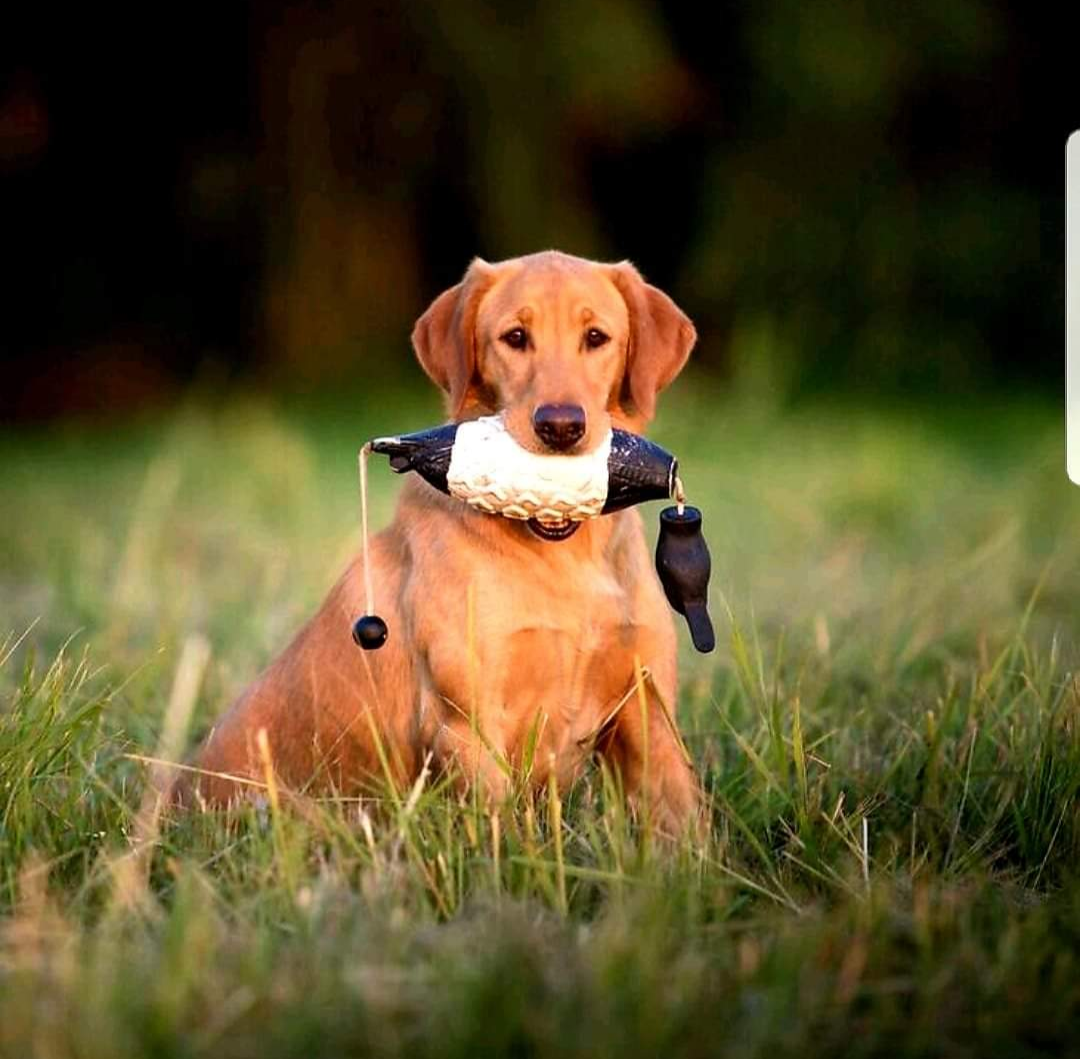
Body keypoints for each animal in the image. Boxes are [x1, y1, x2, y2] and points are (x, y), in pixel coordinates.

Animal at [177, 250, 699, 833]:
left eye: (596, 336)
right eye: (515, 337)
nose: (561, 427)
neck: (562, 557)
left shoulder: (650, 713)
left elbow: (684, 824)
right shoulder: (467, 725)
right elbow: (501, 837)